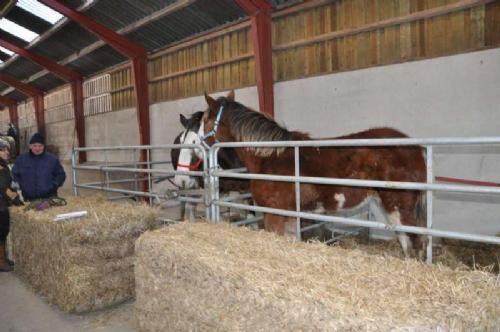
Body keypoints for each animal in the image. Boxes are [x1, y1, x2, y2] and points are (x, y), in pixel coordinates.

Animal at [199, 91, 426, 260]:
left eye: (205, 120)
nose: (197, 148)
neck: (270, 156)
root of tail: (416, 149)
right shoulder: (290, 213)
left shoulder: (274, 213)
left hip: (398, 206)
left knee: (415, 242)